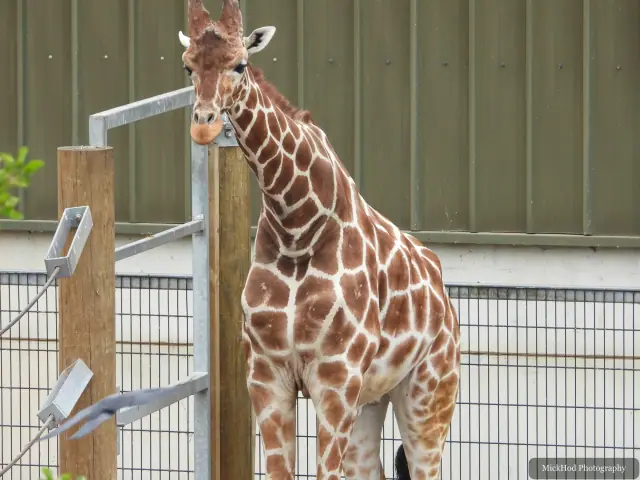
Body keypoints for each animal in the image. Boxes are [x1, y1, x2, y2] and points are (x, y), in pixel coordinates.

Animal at [179, 1, 461, 478]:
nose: (204, 125)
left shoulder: (336, 376)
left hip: (430, 392)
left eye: (241, 63)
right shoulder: (266, 373)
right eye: (188, 66)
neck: (297, 229)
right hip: (372, 399)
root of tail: (443, 292)